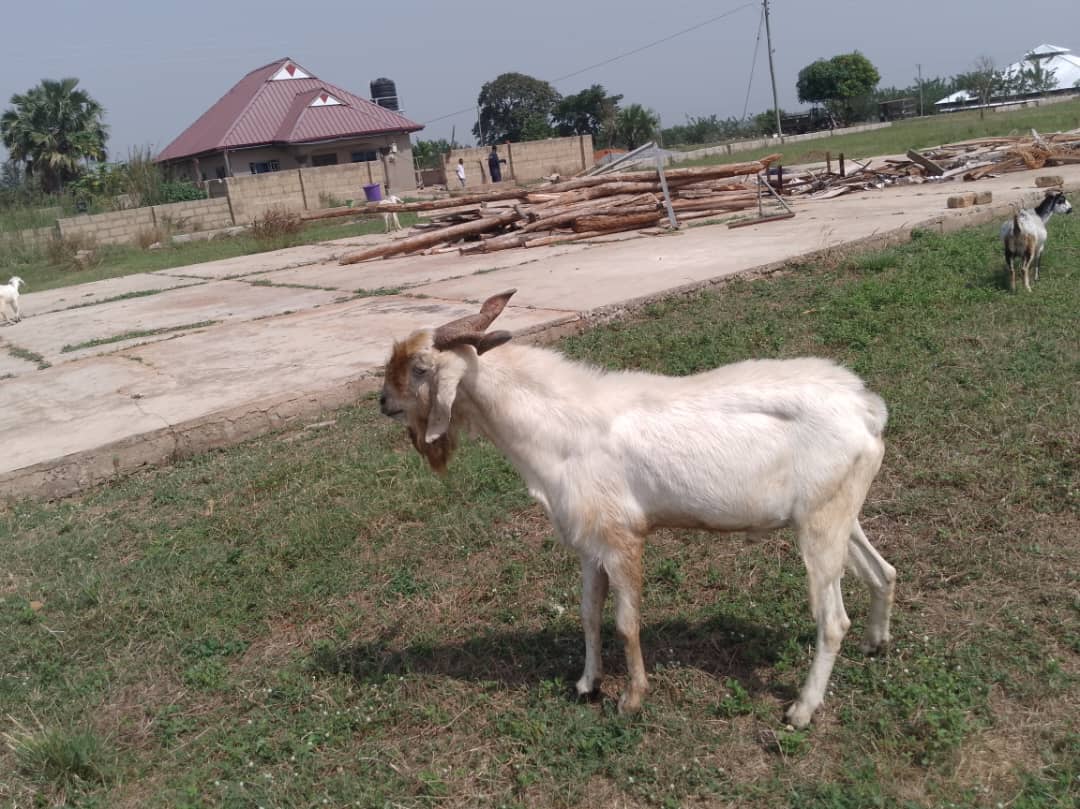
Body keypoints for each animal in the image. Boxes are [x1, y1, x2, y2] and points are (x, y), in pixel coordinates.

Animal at [379, 290, 896, 728]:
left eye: (420, 368)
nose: (383, 401)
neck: (562, 428)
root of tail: (867, 410)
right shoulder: (589, 543)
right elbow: (589, 611)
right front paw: (587, 684)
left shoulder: (621, 535)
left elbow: (626, 623)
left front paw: (631, 698)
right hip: (840, 513)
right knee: (884, 571)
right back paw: (876, 643)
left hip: (819, 525)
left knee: (833, 621)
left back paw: (802, 710)